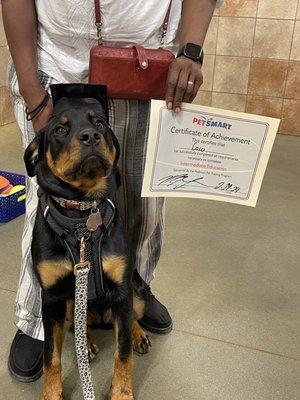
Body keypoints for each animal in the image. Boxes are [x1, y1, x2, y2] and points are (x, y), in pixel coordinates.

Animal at [23, 85, 151, 400]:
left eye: (100, 123)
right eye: (59, 129)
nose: (91, 136)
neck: (80, 217)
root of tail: (102, 317)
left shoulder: (121, 288)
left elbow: (122, 353)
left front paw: (122, 392)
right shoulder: (52, 296)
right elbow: (51, 356)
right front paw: (51, 393)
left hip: (137, 289)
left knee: (129, 319)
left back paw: (138, 334)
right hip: (69, 301)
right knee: (76, 323)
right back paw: (89, 343)